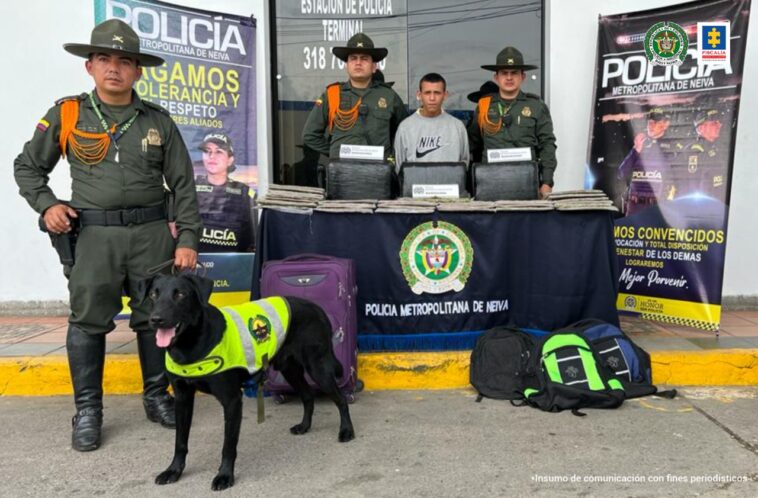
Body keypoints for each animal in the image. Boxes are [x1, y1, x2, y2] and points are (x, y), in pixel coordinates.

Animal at [141, 272, 354, 490]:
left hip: (318, 368)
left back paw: (346, 431)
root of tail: (316, 307)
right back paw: (304, 426)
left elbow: (228, 445)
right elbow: (180, 441)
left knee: (340, 399)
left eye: (181, 294)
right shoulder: (182, 399)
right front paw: (174, 470)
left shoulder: (232, 400)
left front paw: (225, 475)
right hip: (289, 369)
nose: (156, 319)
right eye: (153, 294)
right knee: (308, 396)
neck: (191, 344)